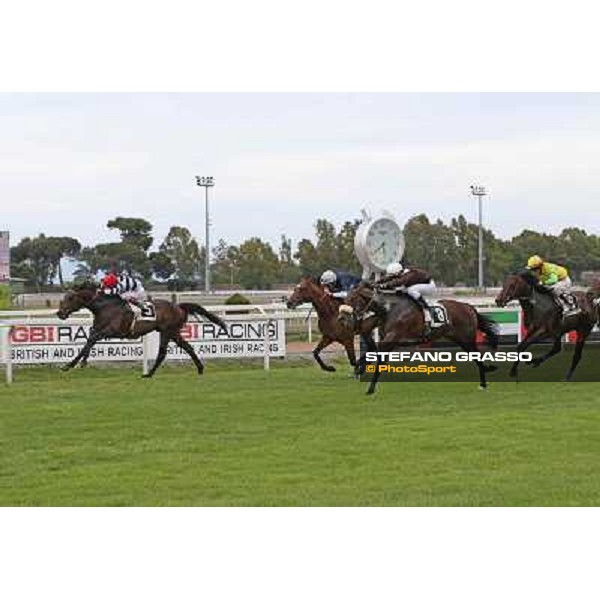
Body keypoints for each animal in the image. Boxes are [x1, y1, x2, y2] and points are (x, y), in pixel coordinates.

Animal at [56, 282, 230, 378]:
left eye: (70, 298)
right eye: (64, 298)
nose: (60, 313)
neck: (105, 306)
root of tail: (178, 307)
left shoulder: (112, 331)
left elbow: (91, 340)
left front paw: (69, 365)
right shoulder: (97, 329)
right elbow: (89, 341)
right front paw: (81, 362)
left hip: (167, 331)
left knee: (162, 353)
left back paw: (149, 374)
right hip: (173, 333)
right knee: (188, 347)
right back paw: (200, 369)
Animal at [340, 282, 500, 394]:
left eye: (353, 299)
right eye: (345, 298)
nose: (342, 318)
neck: (389, 308)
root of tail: (468, 307)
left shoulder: (390, 340)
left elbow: (376, 358)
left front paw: (363, 376)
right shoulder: (387, 340)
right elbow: (373, 354)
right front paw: (361, 372)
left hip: (466, 339)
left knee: (477, 356)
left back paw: (485, 377)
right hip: (461, 340)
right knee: (476, 357)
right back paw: (484, 380)